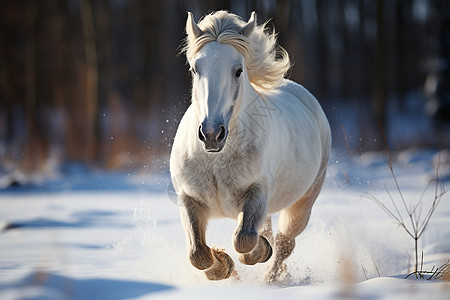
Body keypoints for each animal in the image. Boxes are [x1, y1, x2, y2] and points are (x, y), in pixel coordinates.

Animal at [169, 8, 330, 282]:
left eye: (238, 70)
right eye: (194, 69)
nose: (212, 134)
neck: (215, 160)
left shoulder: (257, 193)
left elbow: (244, 239)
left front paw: (255, 253)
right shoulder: (189, 198)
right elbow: (198, 253)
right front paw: (224, 266)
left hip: (302, 204)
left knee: (284, 244)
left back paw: (269, 279)